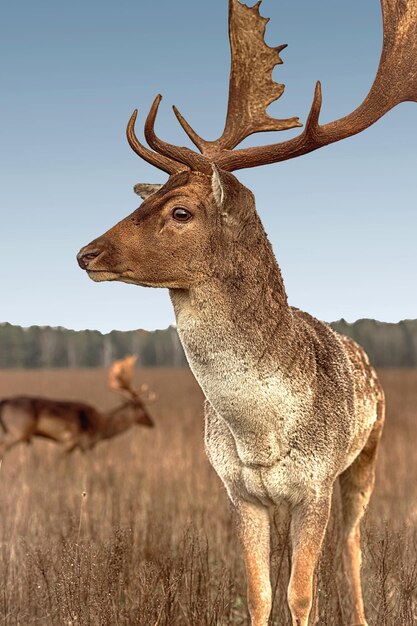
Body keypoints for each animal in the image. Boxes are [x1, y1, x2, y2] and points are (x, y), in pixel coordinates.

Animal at [0, 356, 154, 454]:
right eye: (142, 408)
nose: (152, 422)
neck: (101, 426)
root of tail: (4, 402)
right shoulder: (71, 440)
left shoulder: (83, 446)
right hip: (17, 431)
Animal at [75, 2, 416, 620]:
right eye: (147, 198)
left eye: (181, 211)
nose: (87, 253)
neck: (260, 434)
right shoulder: (241, 492)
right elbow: (260, 592)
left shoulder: (314, 487)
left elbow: (301, 594)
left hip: (369, 455)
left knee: (353, 545)